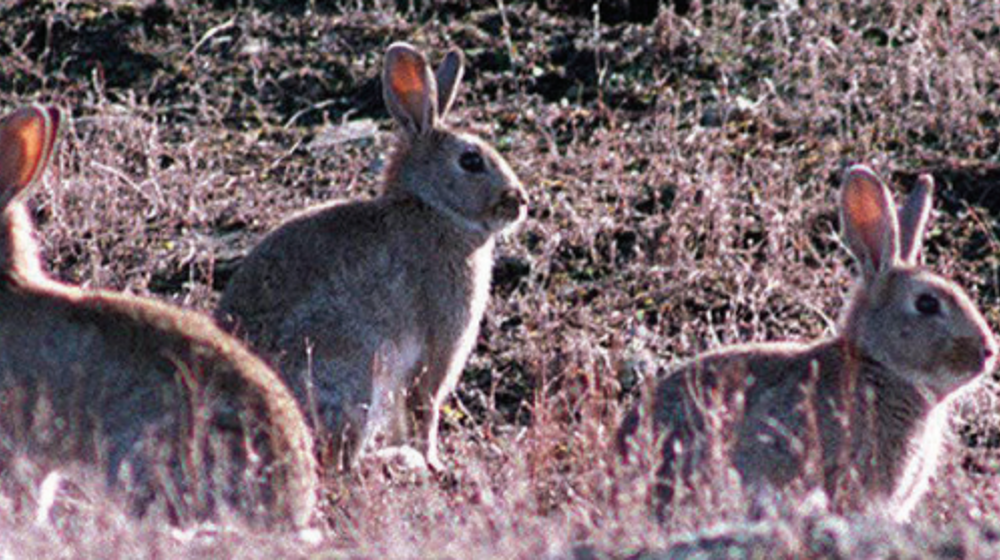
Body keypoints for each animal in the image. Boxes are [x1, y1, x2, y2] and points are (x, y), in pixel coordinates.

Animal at [216, 42, 527, 472]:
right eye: (470, 161)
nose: (520, 202)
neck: (433, 209)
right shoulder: (439, 346)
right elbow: (425, 408)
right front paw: (434, 463)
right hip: (353, 374)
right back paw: (395, 460)